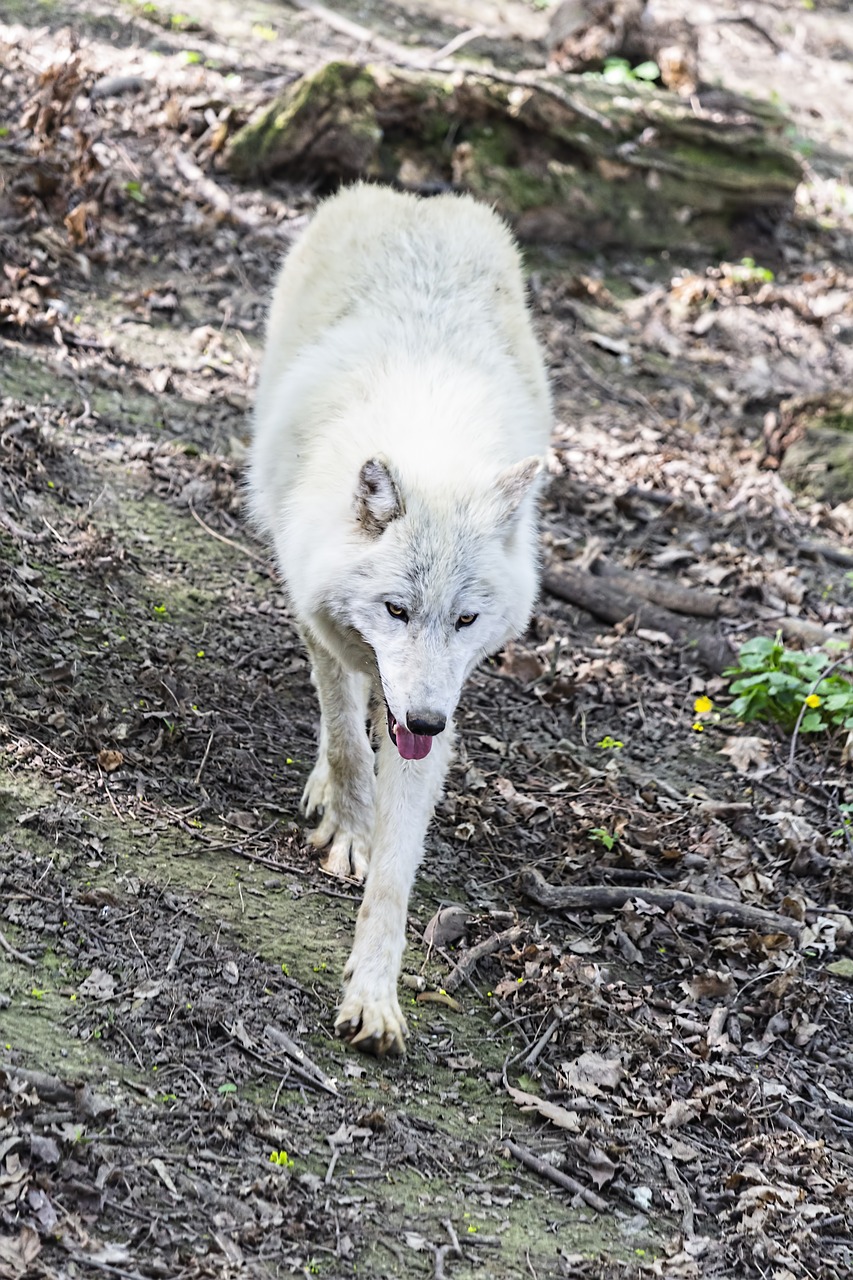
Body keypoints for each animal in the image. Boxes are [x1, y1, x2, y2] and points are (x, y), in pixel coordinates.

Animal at [245, 183, 550, 1059]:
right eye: (396, 609)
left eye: (467, 618)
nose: (423, 719)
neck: (431, 436)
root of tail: (412, 196)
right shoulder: (319, 613)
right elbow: (349, 740)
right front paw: (348, 824)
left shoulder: (441, 702)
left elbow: (395, 865)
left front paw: (374, 995)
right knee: (341, 708)